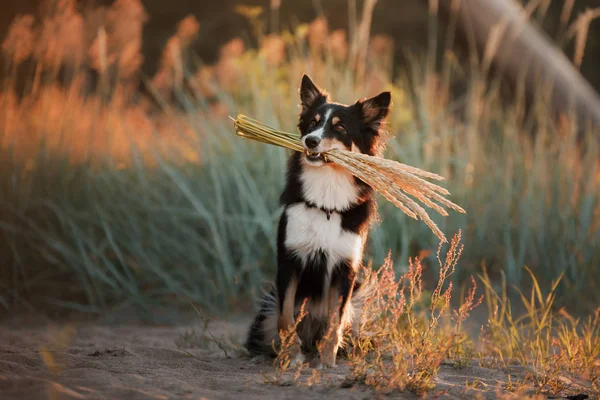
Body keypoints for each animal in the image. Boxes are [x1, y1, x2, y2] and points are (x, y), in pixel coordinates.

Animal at [245, 74, 392, 368]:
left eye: (340, 128)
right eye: (312, 123)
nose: (310, 141)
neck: (327, 196)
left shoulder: (345, 270)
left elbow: (335, 322)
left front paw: (326, 362)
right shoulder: (289, 259)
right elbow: (285, 316)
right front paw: (292, 356)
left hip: (357, 304)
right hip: (266, 306)